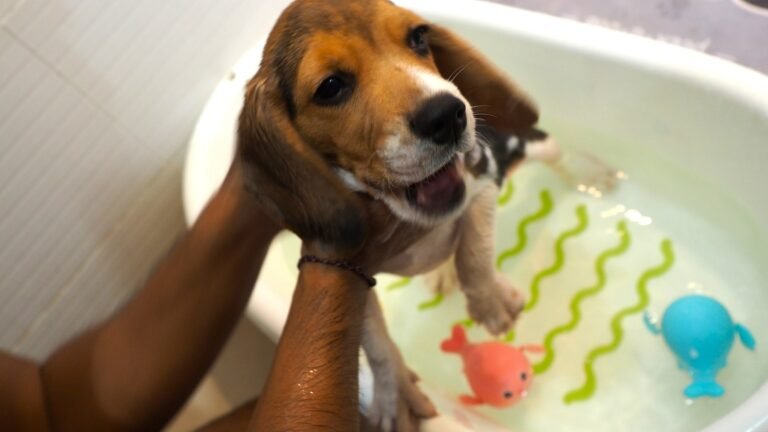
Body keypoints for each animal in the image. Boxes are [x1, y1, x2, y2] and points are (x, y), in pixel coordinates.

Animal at [238, 0, 560, 426]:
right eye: (331, 87)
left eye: (419, 37)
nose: (447, 114)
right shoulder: (355, 268)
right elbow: (375, 341)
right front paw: (394, 394)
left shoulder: (483, 179)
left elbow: (475, 251)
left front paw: (490, 303)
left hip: (532, 146)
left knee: (558, 153)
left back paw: (598, 175)